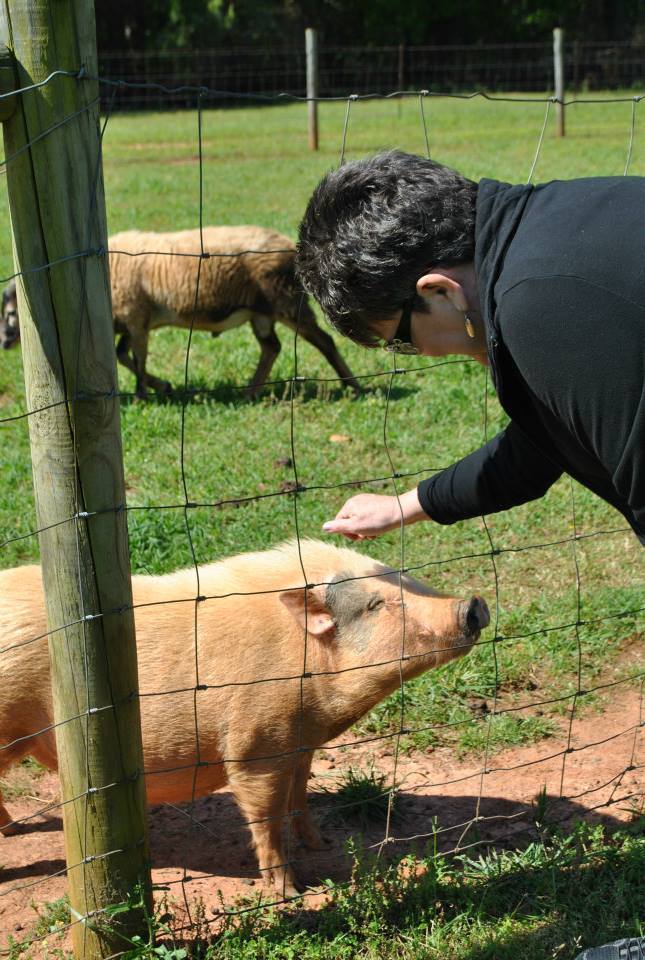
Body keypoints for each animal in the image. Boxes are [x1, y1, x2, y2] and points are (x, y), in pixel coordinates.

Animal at [0, 539, 489, 896]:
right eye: (374, 605)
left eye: (406, 578)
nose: (473, 605)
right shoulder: (257, 743)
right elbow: (266, 817)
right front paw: (290, 893)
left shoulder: (299, 743)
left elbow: (300, 796)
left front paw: (322, 843)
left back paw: (13, 829)